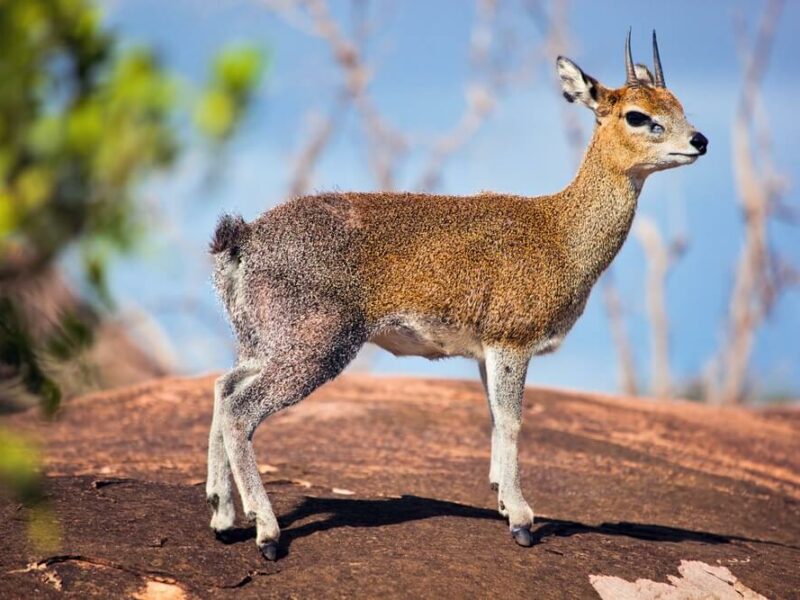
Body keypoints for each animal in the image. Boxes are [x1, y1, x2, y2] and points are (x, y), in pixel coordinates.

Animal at [206, 31, 707, 560]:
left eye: (679, 104)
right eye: (637, 114)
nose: (700, 141)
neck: (561, 235)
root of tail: (244, 237)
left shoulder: (486, 352)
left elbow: (493, 418)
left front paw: (504, 502)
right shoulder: (512, 342)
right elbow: (512, 420)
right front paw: (522, 520)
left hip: (264, 344)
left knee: (222, 387)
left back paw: (222, 516)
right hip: (315, 347)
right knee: (240, 410)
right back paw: (266, 531)